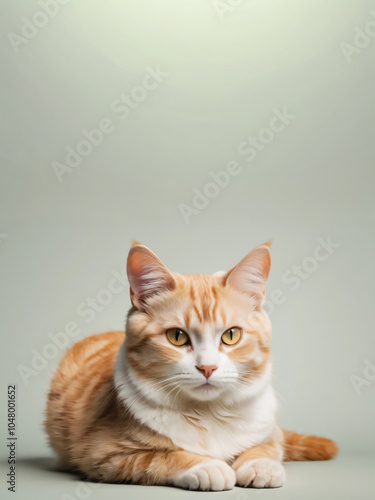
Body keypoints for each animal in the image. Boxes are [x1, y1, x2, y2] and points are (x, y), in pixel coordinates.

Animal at [45, 240, 340, 490]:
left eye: (231, 335)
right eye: (177, 336)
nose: (207, 368)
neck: (209, 413)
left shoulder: (270, 431)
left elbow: (268, 446)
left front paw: (260, 464)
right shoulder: (102, 453)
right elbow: (160, 456)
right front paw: (208, 466)